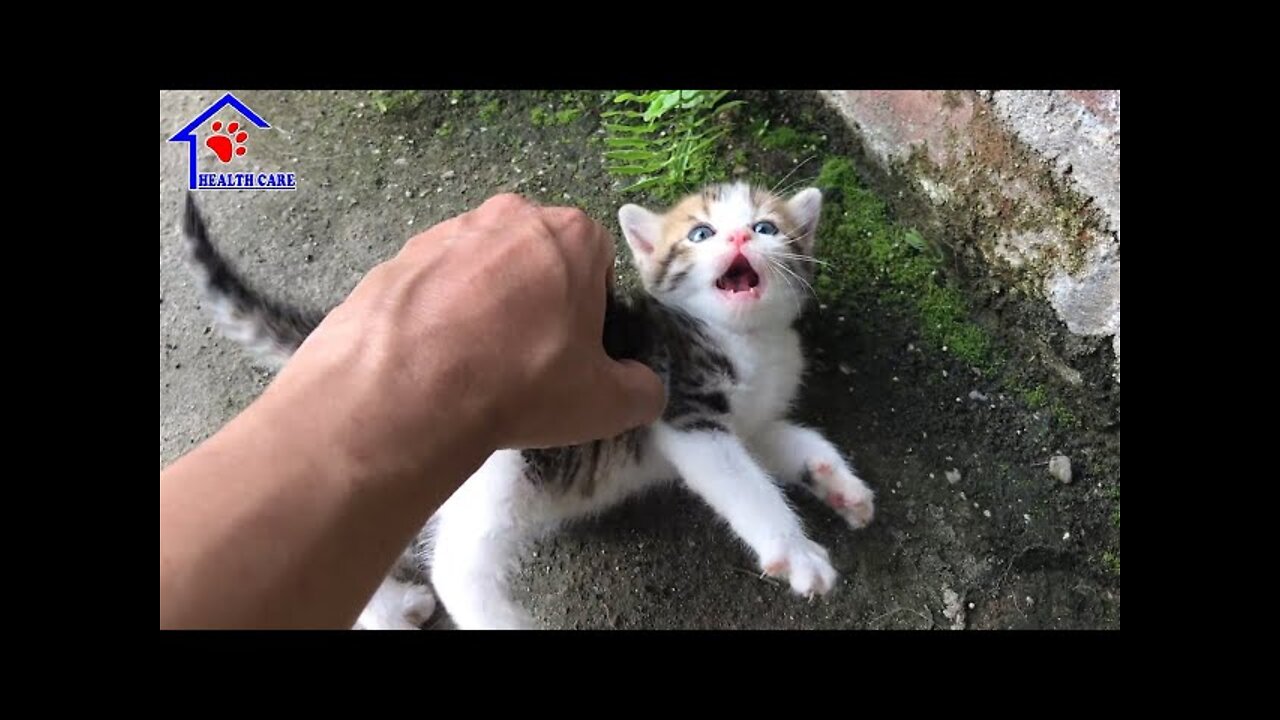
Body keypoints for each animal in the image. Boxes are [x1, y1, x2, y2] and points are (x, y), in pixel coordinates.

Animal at [180, 181, 875, 625]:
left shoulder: (750, 420)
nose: (736, 239)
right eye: (702, 233)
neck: (747, 340)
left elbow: (787, 441)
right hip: (497, 459)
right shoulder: (684, 411)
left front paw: (838, 484)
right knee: (455, 567)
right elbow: (744, 485)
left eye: (765, 228)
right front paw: (798, 552)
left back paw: (392, 608)